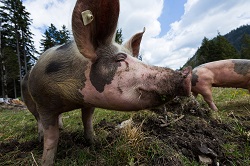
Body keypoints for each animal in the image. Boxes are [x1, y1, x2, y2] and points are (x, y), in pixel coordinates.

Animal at [22, 0, 191, 165]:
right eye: (120, 58)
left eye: (135, 58)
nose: (187, 74)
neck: (73, 99)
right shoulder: (44, 103)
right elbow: (52, 137)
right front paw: (46, 161)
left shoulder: (88, 102)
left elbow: (87, 120)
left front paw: (94, 142)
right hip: (29, 100)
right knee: (37, 118)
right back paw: (40, 138)